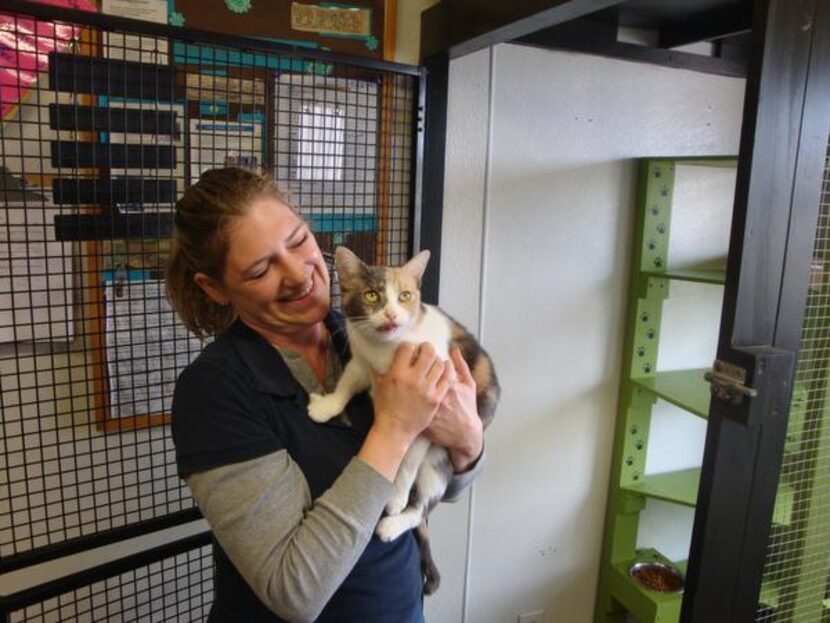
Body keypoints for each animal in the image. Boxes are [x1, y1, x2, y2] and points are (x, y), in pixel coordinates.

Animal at [308, 245, 498, 596]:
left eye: (406, 296)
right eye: (371, 295)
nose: (392, 315)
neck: (386, 351)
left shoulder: (430, 410)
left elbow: (408, 461)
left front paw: (395, 498)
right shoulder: (361, 362)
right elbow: (347, 383)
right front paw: (327, 406)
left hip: (437, 464)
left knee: (421, 508)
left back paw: (393, 522)